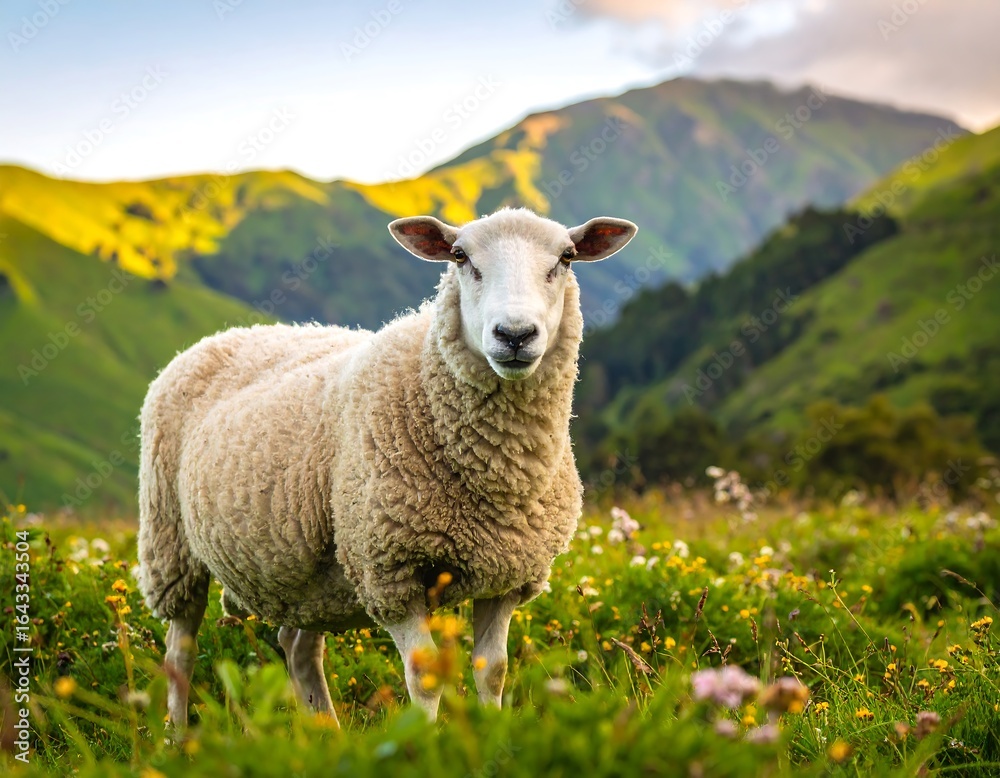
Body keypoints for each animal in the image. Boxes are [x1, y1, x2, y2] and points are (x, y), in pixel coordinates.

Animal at [135, 207, 637, 727]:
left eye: (567, 257)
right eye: (460, 256)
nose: (514, 335)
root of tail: (227, 334)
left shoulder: (508, 575)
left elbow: (494, 671)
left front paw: (493, 730)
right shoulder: (389, 571)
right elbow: (425, 675)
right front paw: (425, 740)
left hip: (316, 572)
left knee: (297, 647)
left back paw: (326, 730)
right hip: (172, 543)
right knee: (180, 650)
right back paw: (177, 734)